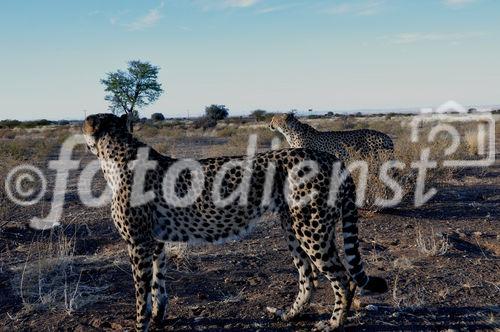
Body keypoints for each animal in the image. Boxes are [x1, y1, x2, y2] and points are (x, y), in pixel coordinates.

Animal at [83, 113, 386, 330]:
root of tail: (331, 158)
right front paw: (158, 318)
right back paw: (289, 315)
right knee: (308, 275)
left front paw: (141, 325)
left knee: (343, 278)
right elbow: (158, 285)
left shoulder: (138, 244)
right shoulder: (155, 243)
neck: (118, 155)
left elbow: (141, 293)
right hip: (293, 227)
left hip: (312, 230)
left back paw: (333, 324)